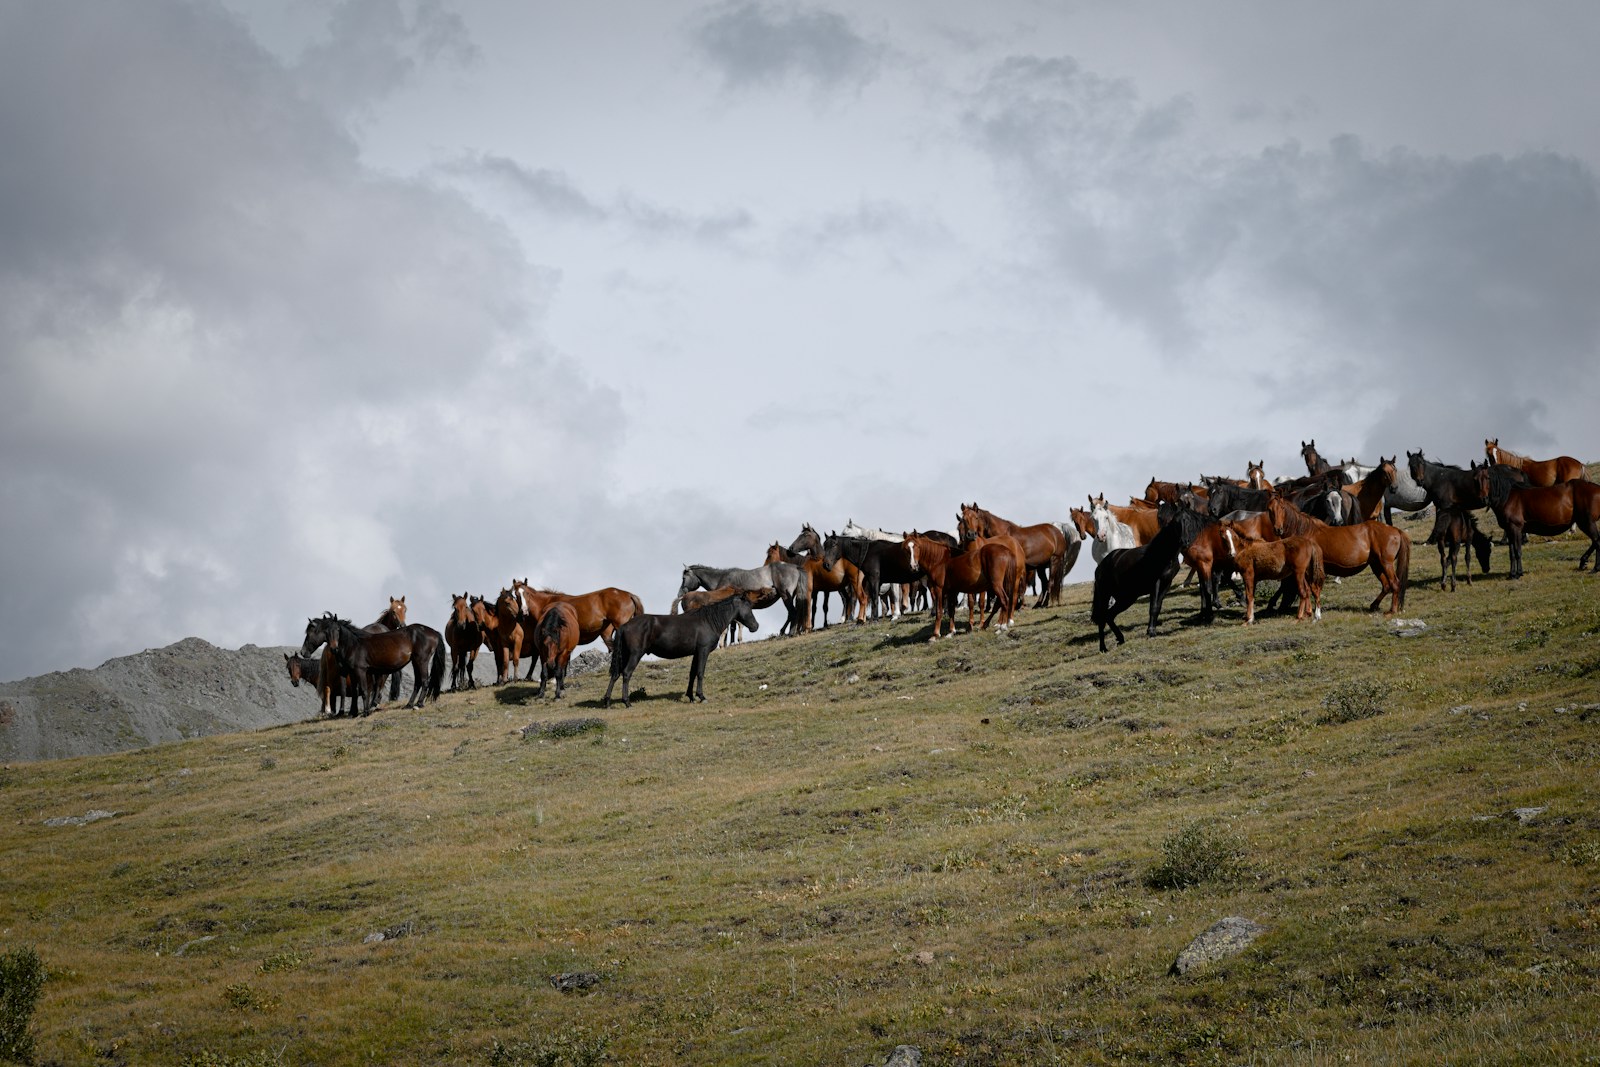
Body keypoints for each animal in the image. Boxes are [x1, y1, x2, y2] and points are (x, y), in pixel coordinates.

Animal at [298, 614, 445, 713]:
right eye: (326, 632)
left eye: (310, 632)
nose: (303, 652)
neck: (353, 645)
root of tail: (434, 632)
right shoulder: (352, 672)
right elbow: (356, 690)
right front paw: (355, 712)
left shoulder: (360, 671)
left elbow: (363, 690)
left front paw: (365, 712)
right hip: (415, 661)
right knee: (418, 682)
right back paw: (409, 704)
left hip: (422, 661)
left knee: (424, 681)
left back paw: (418, 704)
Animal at [603, 593, 762, 708]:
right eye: (748, 607)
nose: (756, 626)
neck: (708, 621)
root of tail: (624, 626)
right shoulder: (703, 651)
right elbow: (700, 673)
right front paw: (701, 696)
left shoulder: (696, 653)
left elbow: (692, 673)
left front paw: (691, 696)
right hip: (635, 654)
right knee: (626, 673)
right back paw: (626, 702)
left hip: (625, 654)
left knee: (615, 674)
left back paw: (607, 701)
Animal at [1091, 501, 1186, 652]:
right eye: (1159, 518)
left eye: (1177, 518)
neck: (1163, 552)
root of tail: (1100, 567)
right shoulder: (1155, 583)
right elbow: (1153, 606)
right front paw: (1151, 632)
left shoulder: (1167, 583)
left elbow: (1158, 606)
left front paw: (1151, 630)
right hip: (1106, 595)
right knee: (1102, 617)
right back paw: (1103, 648)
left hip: (1126, 597)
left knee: (1109, 615)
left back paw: (1120, 638)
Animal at [1265, 497, 1411, 615]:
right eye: (1269, 509)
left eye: (1282, 508)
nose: (1278, 529)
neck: (1305, 532)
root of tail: (1396, 531)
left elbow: (1304, 588)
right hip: (1376, 565)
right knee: (1386, 585)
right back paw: (1374, 605)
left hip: (1386, 563)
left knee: (1395, 584)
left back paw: (1392, 610)